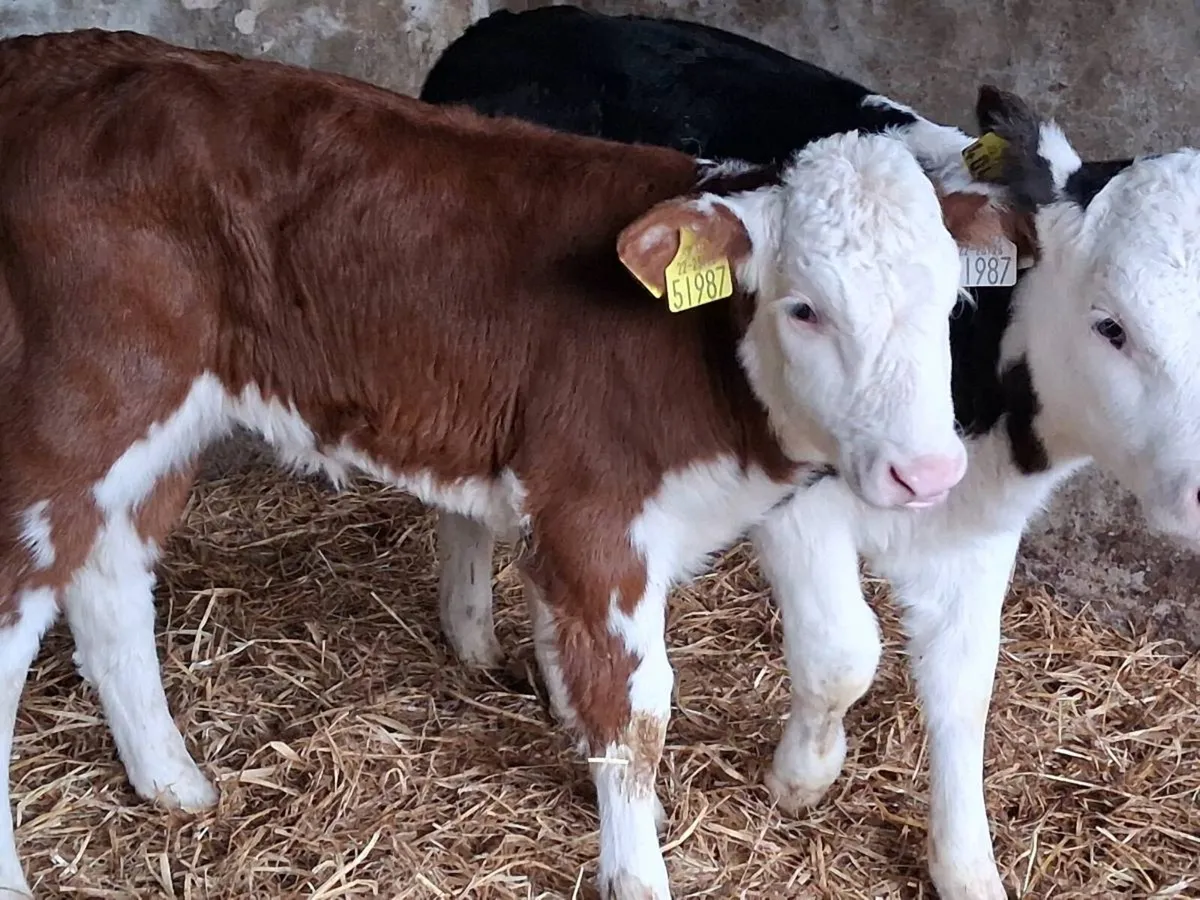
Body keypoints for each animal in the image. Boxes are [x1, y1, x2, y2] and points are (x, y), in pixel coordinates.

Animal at [0, 27, 1027, 900]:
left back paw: (173, 780)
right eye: (805, 307)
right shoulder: (592, 515)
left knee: (110, 584)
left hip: (151, 432)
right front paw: (636, 873)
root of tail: (49, 58)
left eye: (951, 299)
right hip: (63, 421)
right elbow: (638, 712)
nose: (927, 475)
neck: (690, 354)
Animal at [420, 7, 1200, 899]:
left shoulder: (980, 522)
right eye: (1111, 325)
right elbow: (843, 652)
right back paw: (474, 635)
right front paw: (802, 775)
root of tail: (502, 26)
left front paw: (965, 865)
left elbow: (965, 686)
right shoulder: (797, 497)